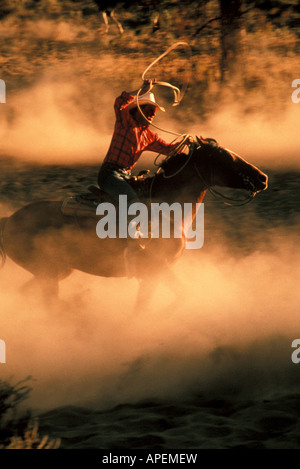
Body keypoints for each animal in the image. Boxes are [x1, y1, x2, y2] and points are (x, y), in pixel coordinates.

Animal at [0, 137, 268, 308]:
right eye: (226, 158)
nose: (262, 178)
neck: (169, 208)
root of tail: (9, 221)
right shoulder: (156, 270)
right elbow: (153, 304)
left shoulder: (157, 274)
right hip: (47, 273)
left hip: (57, 272)